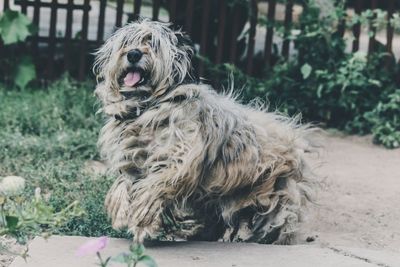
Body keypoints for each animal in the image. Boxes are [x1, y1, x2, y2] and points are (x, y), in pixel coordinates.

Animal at [94, 18, 316, 245]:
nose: (133, 54)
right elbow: (124, 182)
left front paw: (143, 219)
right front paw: (120, 211)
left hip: (275, 198)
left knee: (276, 224)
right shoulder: (131, 158)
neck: (148, 108)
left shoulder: (180, 158)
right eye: (126, 42)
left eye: (153, 44)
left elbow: (155, 185)